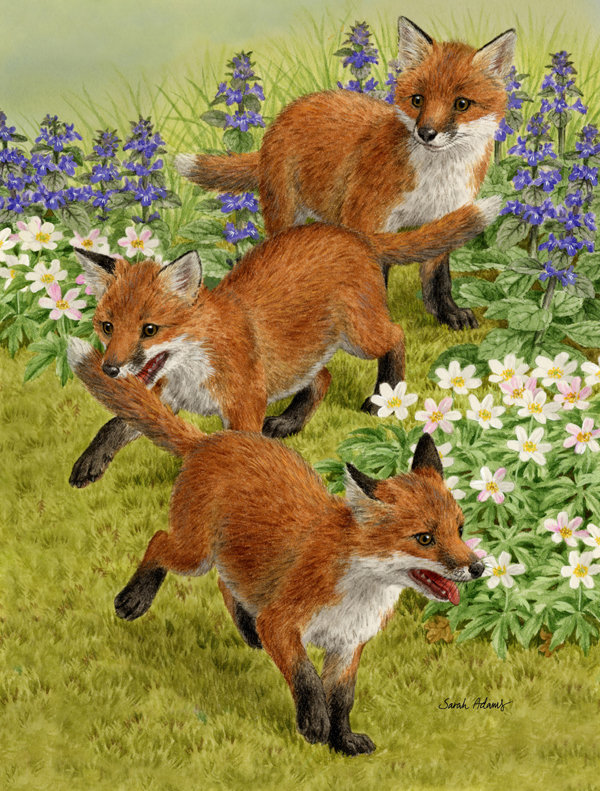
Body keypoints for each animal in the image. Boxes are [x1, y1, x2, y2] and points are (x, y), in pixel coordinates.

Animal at [67, 337, 485, 755]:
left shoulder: (347, 645)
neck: (360, 589)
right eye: (425, 538)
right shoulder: (282, 623)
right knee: (159, 542)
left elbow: (343, 699)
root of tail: (213, 440)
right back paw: (133, 599)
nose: (478, 567)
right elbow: (306, 676)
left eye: (460, 529)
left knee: (226, 584)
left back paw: (245, 630)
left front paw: (343, 739)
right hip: (194, 554)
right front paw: (314, 724)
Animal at [69, 207, 498, 488]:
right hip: (303, 358)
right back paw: (291, 422)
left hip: (360, 336)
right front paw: (90, 463)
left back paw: (383, 395)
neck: (192, 369)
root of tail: (350, 234)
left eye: (149, 330)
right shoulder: (167, 397)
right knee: (323, 378)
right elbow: (116, 424)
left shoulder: (244, 404)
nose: (110, 369)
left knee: (396, 336)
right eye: (107, 327)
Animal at [176, 16, 516, 331]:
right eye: (417, 100)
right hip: (287, 212)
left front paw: (448, 315)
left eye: (462, 104)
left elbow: (438, 281)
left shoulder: (445, 217)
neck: (435, 178)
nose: (426, 133)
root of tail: (290, 110)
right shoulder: (364, 218)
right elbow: (375, 276)